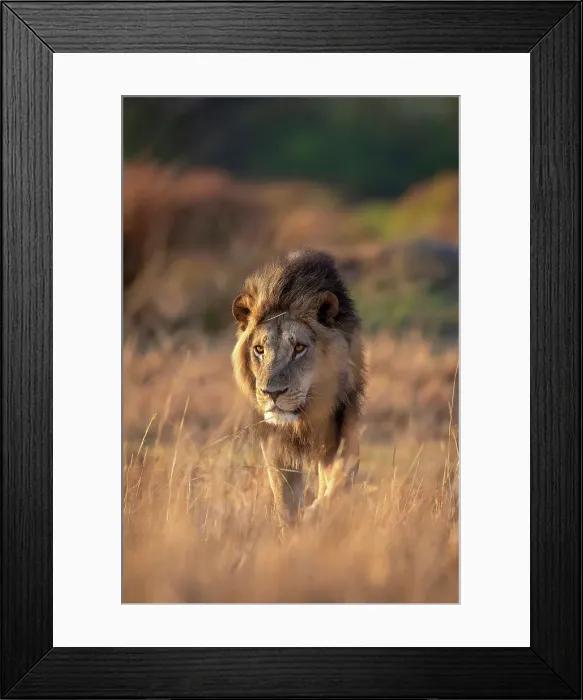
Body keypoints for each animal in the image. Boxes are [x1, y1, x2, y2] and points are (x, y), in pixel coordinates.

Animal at [231, 249, 366, 522]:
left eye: (299, 348)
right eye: (259, 349)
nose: (272, 393)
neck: (304, 417)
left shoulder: (342, 424)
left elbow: (339, 482)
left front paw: (316, 514)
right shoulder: (275, 442)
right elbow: (285, 497)